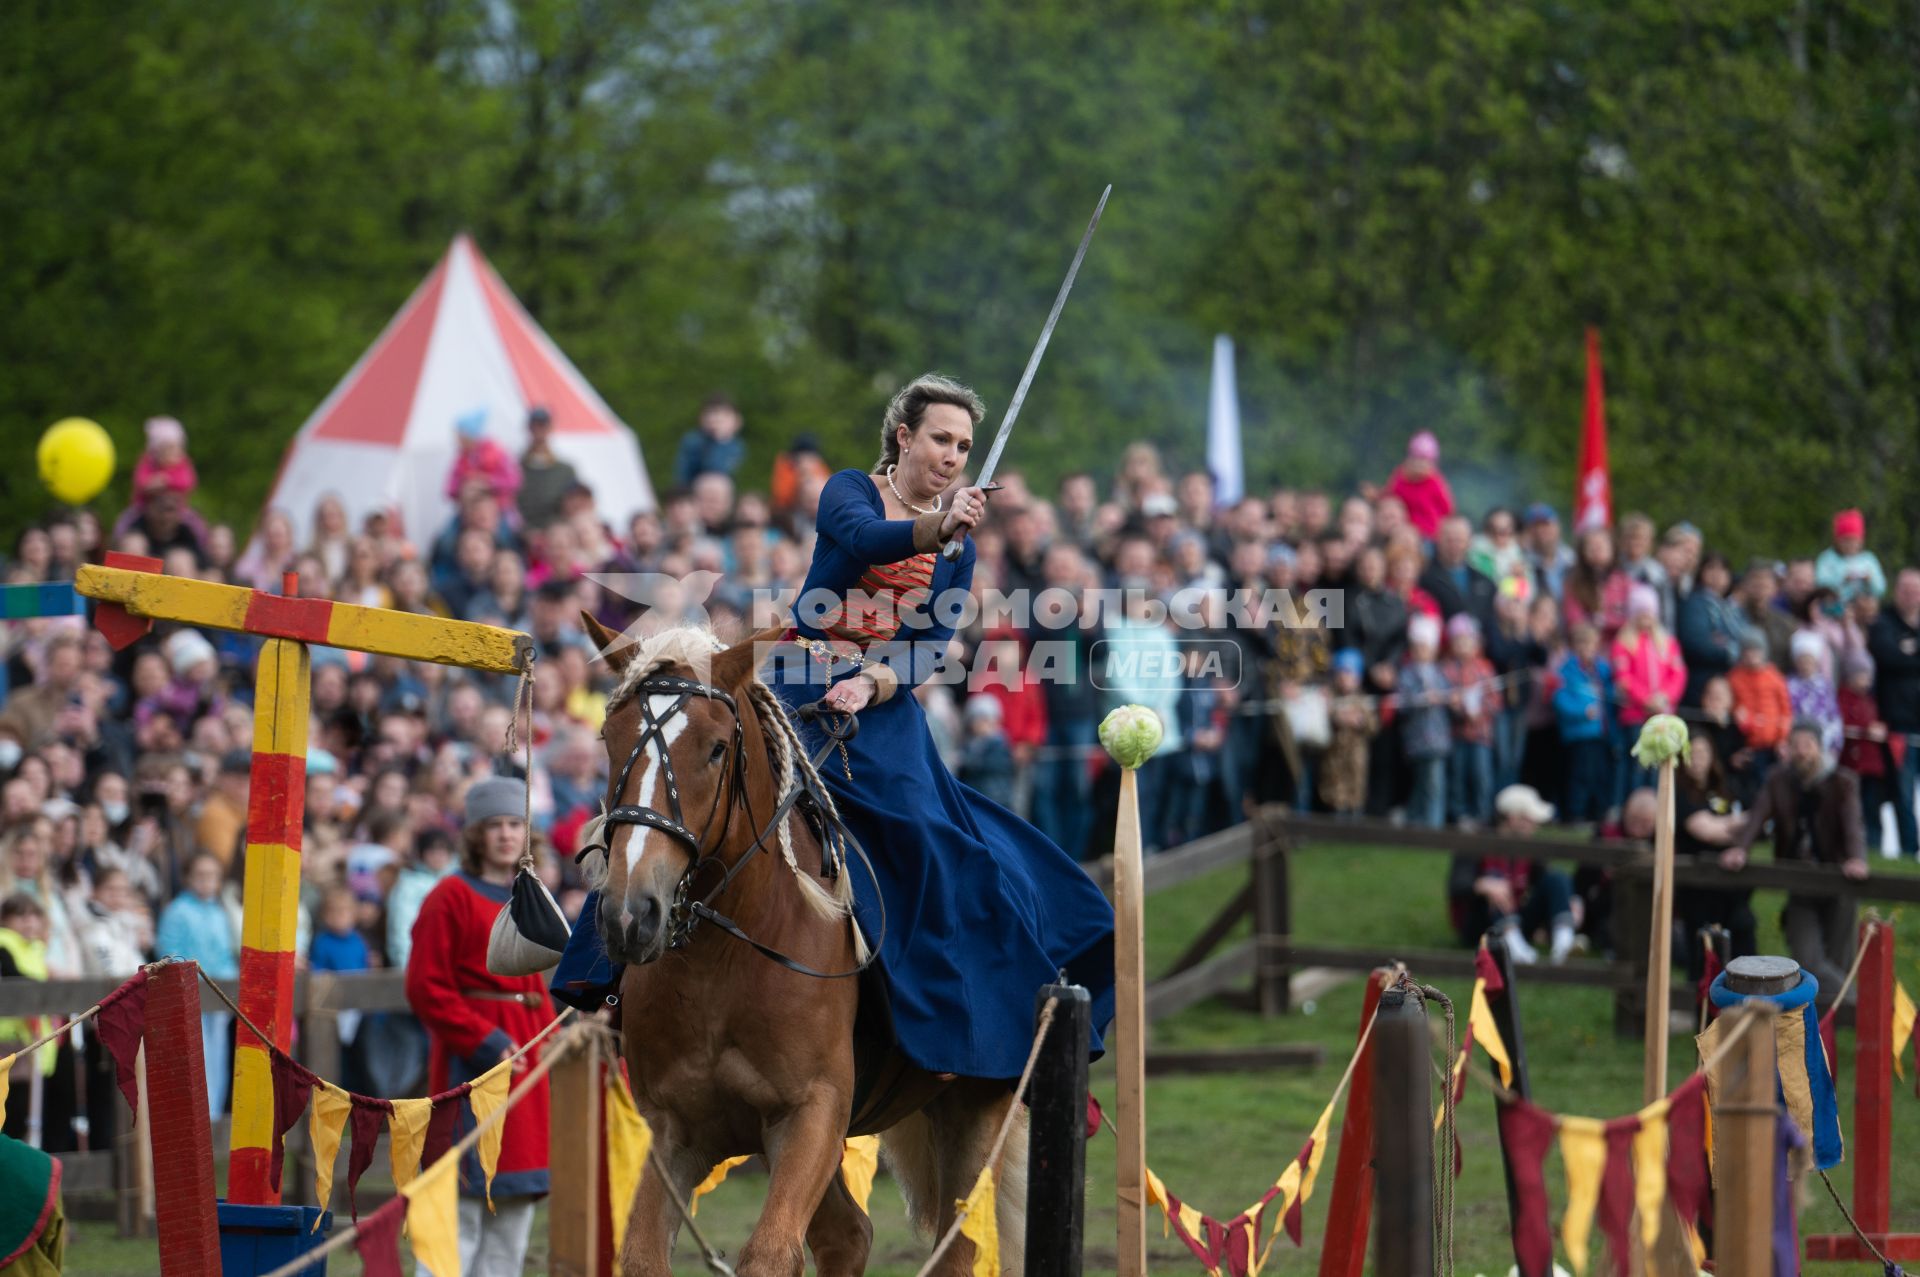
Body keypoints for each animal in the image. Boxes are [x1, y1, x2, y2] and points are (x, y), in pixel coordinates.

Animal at [576, 614, 1029, 1267]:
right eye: (609, 741)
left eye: (716, 748)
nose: (631, 914)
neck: (724, 960)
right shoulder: (672, 1126)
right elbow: (641, 1254)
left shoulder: (812, 1113)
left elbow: (770, 1253)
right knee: (848, 1233)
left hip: (975, 1110)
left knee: (958, 1245)